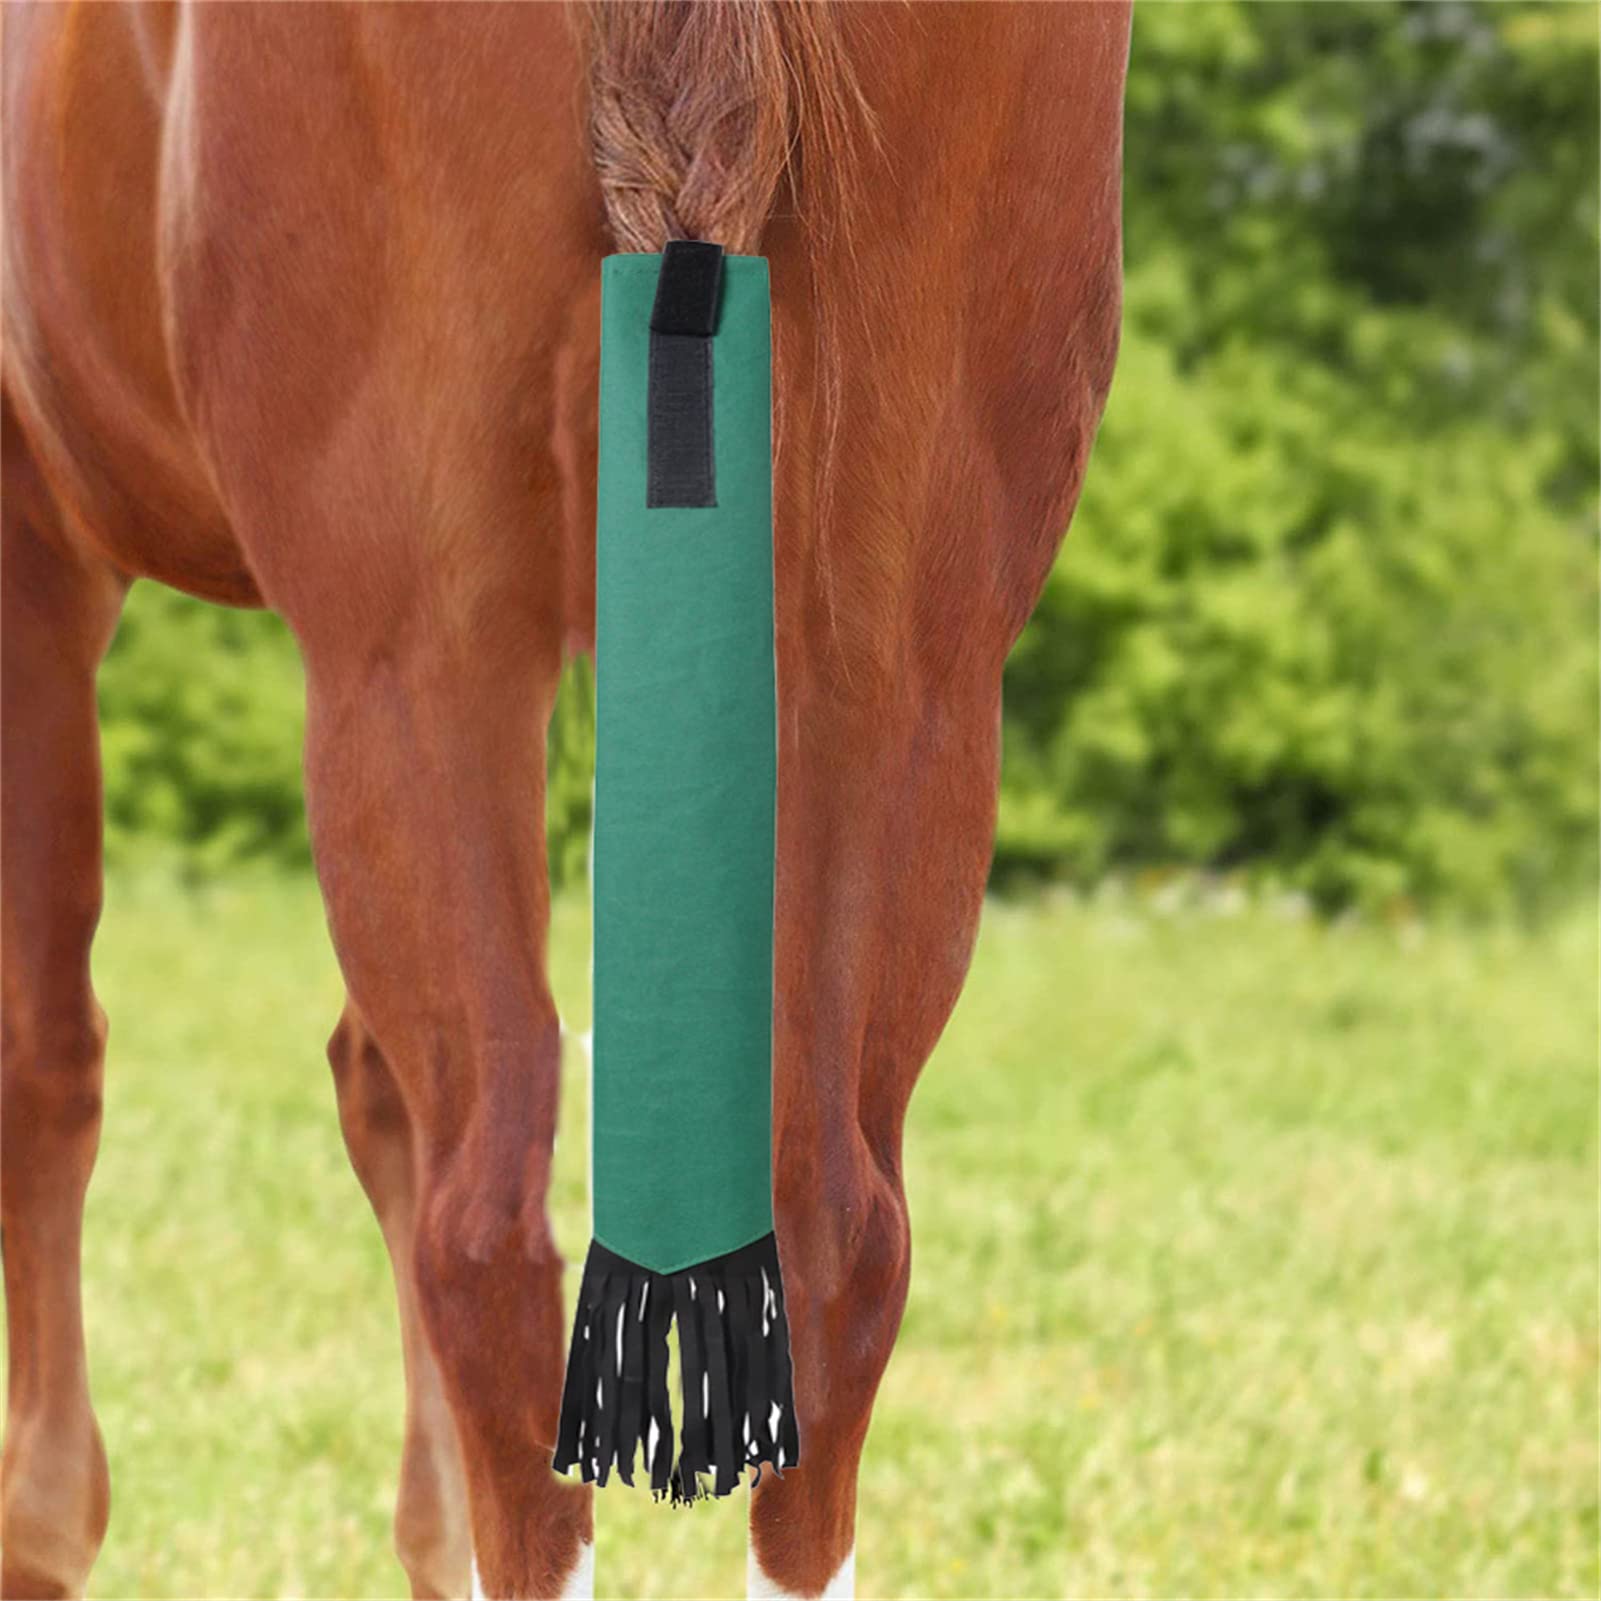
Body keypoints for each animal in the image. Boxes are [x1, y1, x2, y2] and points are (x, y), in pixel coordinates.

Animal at [0, 3, 1129, 1595]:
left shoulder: (34, 539)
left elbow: (45, 1066)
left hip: (421, 649)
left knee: (486, 1241)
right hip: (902, 662)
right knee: (830, 1238)